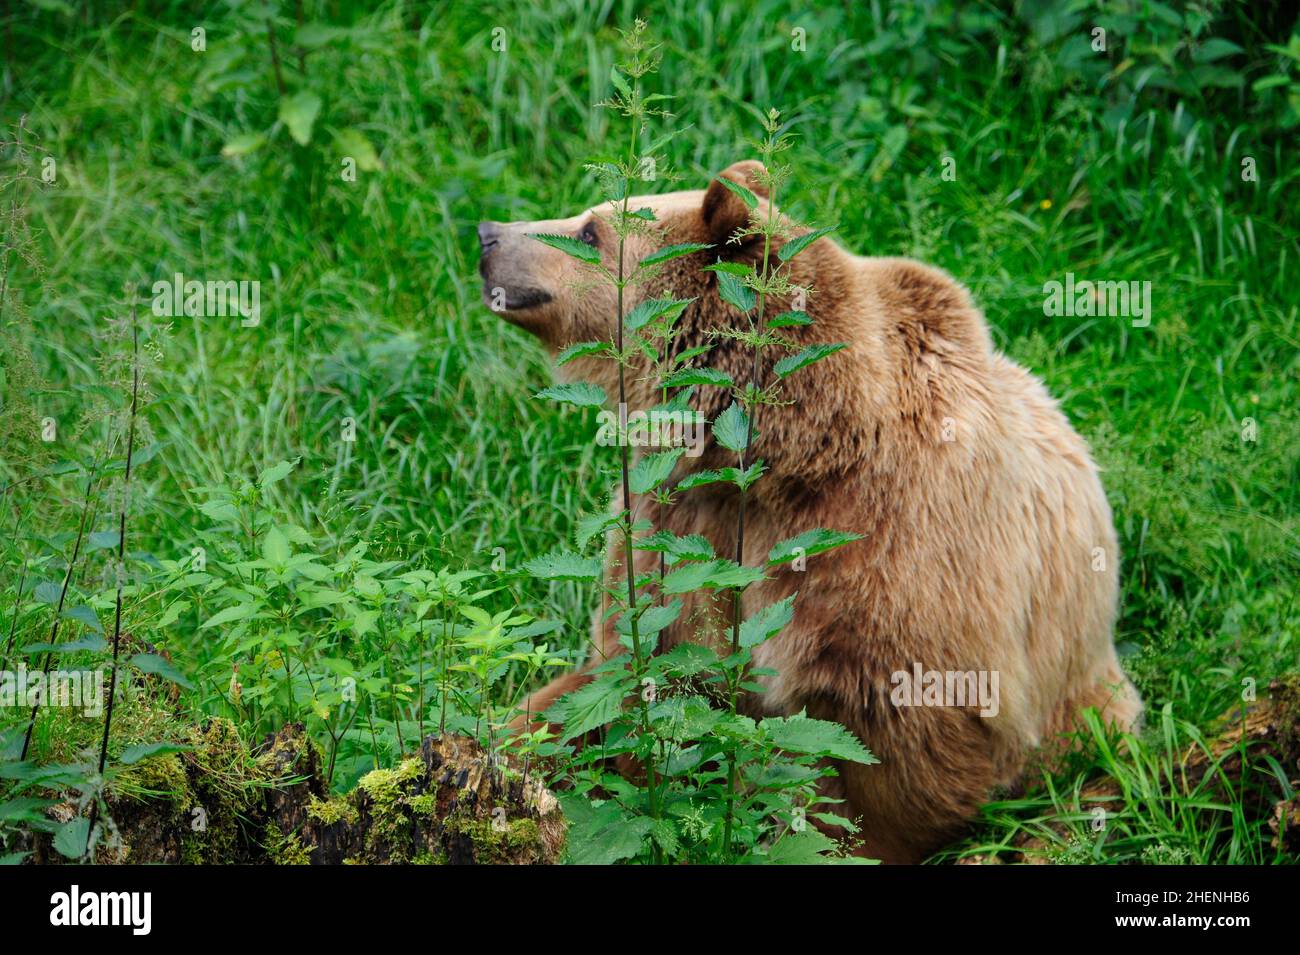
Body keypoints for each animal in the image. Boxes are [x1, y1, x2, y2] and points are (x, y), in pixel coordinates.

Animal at [477, 160, 1143, 863]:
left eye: (591, 230)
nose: (488, 234)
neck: (785, 453)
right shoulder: (676, 522)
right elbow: (631, 671)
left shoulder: (891, 545)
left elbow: (892, 744)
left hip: (1076, 693)